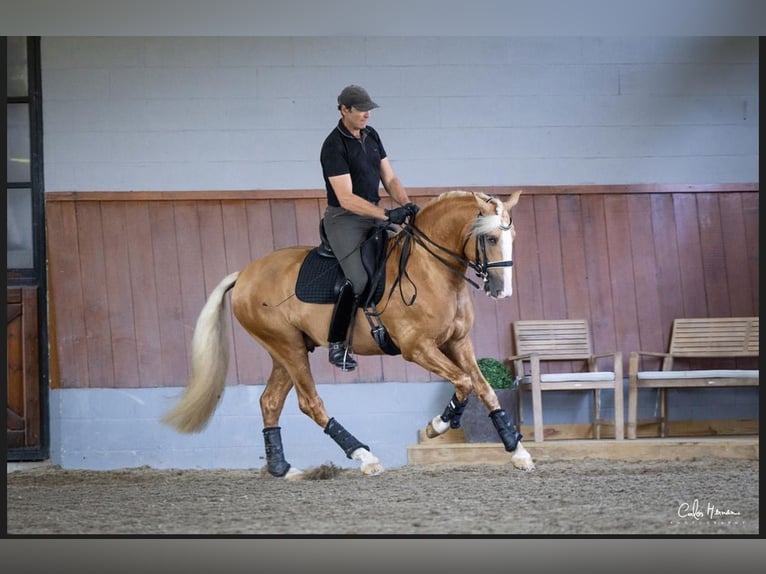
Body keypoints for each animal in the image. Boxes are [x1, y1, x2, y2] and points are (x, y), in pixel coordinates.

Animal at [162, 191, 536, 480]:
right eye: (491, 238)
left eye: (514, 238)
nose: (502, 291)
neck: (430, 269)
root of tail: (244, 275)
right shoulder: (417, 347)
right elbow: (464, 382)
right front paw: (438, 425)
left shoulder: (457, 342)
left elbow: (483, 388)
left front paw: (517, 451)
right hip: (287, 347)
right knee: (310, 403)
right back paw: (364, 457)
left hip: (286, 350)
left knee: (270, 402)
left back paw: (282, 468)